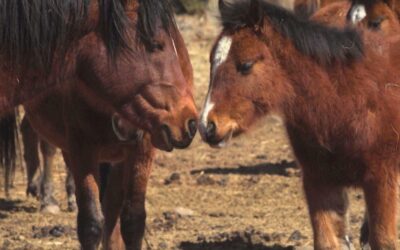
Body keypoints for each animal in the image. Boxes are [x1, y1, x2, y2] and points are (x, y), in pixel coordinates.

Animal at [18, 0, 198, 249]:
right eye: (155, 45)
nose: (189, 123)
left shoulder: (141, 149)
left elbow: (132, 220)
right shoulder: (81, 148)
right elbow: (91, 223)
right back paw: (47, 196)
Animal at [202, 0, 400, 249]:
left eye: (246, 65)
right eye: (211, 61)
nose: (207, 126)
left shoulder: (382, 178)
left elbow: (384, 240)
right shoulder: (318, 180)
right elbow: (327, 241)